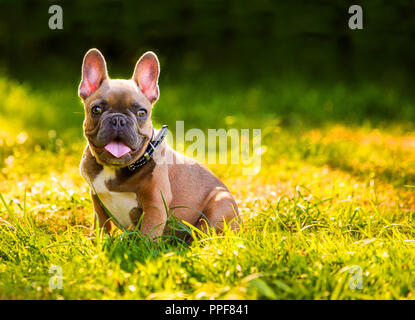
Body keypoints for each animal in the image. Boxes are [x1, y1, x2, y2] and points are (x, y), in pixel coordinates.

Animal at [79, 48, 239, 239]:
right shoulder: (97, 199)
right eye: (96, 110)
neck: (115, 168)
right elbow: (101, 225)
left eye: (142, 112)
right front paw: (96, 241)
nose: (118, 119)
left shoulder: (155, 203)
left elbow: (148, 234)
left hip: (220, 202)